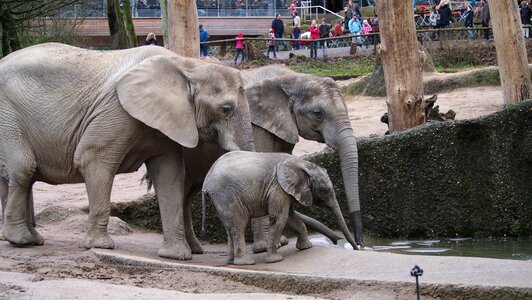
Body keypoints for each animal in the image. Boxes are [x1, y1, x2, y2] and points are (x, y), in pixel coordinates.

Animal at [0, 42, 254, 260]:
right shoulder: (116, 110)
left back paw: (28, 239)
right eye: (226, 109)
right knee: (23, 169)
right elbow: (92, 158)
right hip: (6, 116)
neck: (187, 65)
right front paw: (100, 246)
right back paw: (22, 240)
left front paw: (176, 256)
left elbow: (170, 175)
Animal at [202, 152, 360, 264]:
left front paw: (306, 247)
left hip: (221, 199)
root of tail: (206, 181)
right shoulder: (278, 187)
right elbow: (279, 218)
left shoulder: (285, 191)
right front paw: (275, 260)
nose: (357, 248)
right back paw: (246, 262)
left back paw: (230, 261)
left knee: (229, 227)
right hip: (227, 196)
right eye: (326, 190)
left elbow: (291, 217)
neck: (300, 163)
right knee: (238, 225)